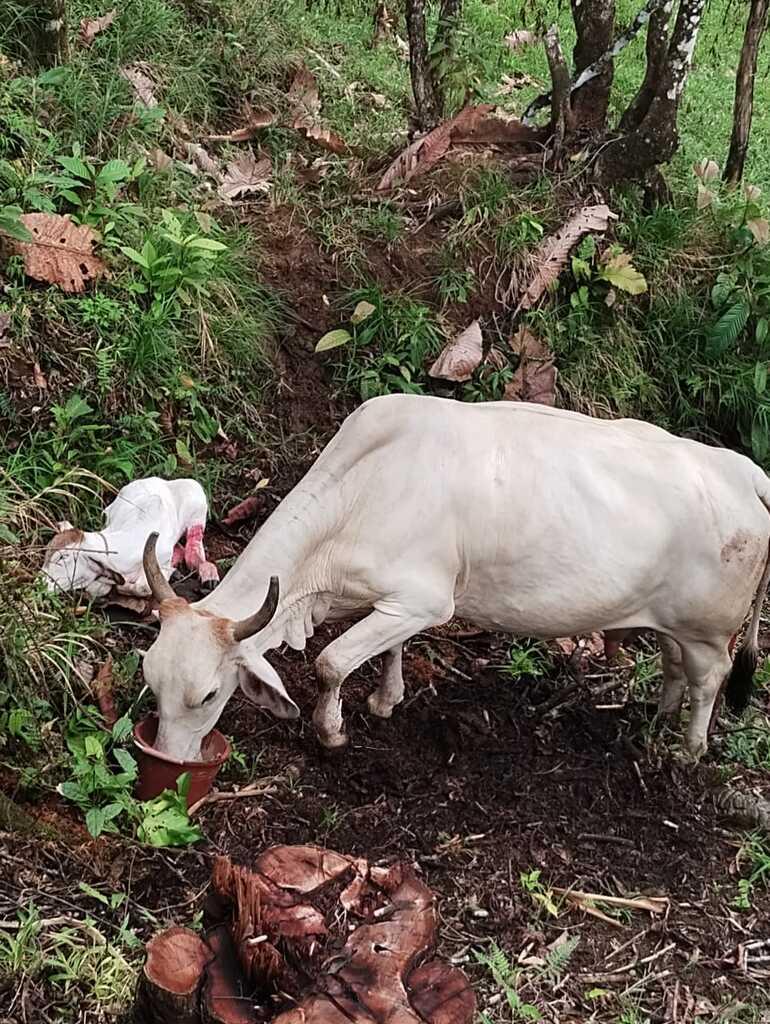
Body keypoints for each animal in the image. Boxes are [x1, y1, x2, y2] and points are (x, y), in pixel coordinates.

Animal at [41, 477, 218, 598]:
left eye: (62, 557)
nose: (39, 584)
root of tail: (160, 480)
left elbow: (143, 588)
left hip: (196, 499)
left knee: (193, 548)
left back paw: (208, 575)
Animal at [138, 395, 770, 765]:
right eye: (151, 681)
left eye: (208, 695)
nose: (169, 758)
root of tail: (743, 469)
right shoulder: (392, 602)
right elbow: (389, 651)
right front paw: (386, 699)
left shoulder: (423, 600)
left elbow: (331, 663)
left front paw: (333, 731)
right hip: (672, 623)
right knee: (673, 666)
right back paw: (657, 720)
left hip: (710, 629)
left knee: (710, 680)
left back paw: (689, 751)